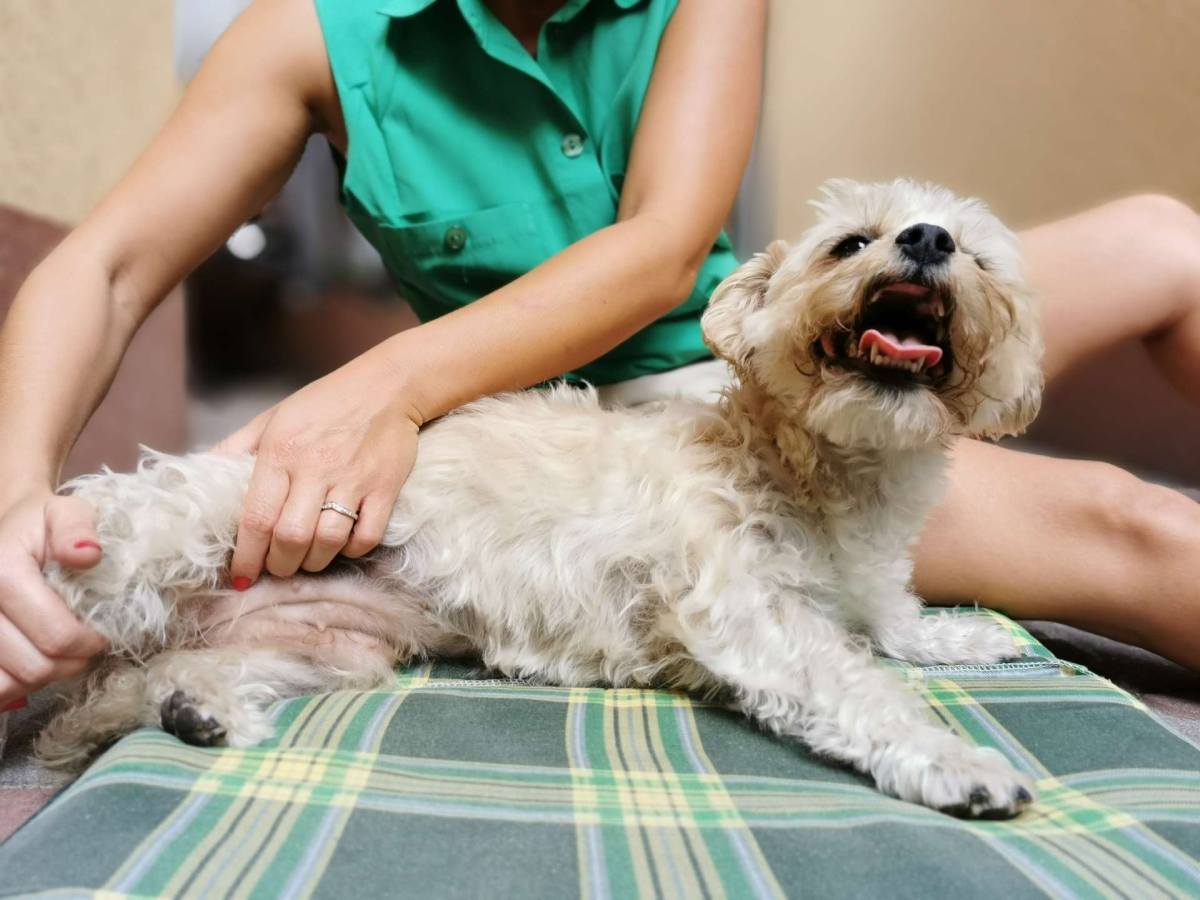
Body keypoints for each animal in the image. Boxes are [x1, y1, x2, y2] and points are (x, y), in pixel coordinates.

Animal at [32, 180, 1041, 820]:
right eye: (850, 243)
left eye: (978, 257)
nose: (927, 239)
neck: (832, 474)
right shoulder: (744, 608)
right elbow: (856, 679)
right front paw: (956, 763)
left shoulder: (870, 581)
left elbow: (897, 625)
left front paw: (966, 637)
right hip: (199, 524)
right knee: (120, 560)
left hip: (327, 647)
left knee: (161, 678)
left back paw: (194, 707)